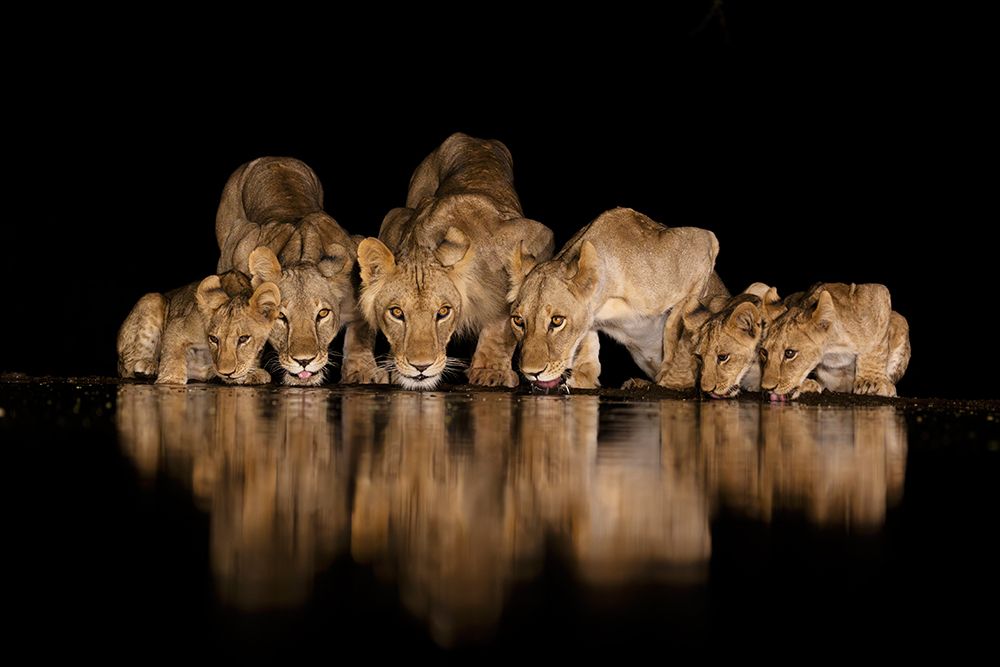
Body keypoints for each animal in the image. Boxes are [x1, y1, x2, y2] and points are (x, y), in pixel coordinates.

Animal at [117, 270, 280, 385]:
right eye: (213, 339)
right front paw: (170, 380)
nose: (226, 372)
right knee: (126, 367)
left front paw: (254, 374)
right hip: (152, 298)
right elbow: (173, 357)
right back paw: (149, 366)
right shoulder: (177, 326)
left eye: (243, 339)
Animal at [216, 156, 385, 386]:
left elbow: (361, 334)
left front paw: (362, 371)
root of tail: (273, 157)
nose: (304, 361)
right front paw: (248, 372)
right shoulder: (240, 250)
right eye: (281, 316)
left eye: (322, 314)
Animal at [356, 132, 554, 389]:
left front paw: (491, 371)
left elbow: (502, 324)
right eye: (397, 313)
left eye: (443, 312)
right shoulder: (396, 220)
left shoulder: (536, 237)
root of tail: (475, 138)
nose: (420, 366)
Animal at [508, 207, 720, 391]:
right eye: (518, 321)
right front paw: (584, 376)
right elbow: (587, 338)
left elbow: (675, 327)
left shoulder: (705, 242)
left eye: (557, 321)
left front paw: (672, 380)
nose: (531, 373)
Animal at [760, 282, 911, 400]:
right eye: (764, 352)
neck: (832, 349)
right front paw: (806, 384)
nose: (767, 388)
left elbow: (875, 347)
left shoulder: (875, 294)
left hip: (901, 321)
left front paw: (870, 382)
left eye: (789, 353)